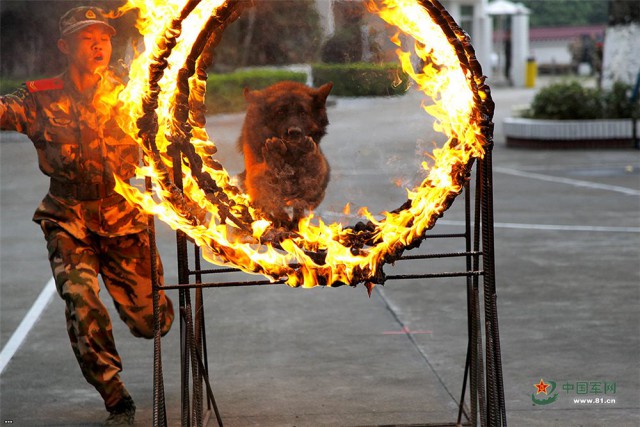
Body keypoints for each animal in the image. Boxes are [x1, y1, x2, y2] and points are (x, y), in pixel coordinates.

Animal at [238, 81, 332, 227]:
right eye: (280, 112)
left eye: (303, 113)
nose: (294, 132)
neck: (290, 155)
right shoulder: (253, 169)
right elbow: (263, 181)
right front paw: (274, 158)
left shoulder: (319, 182)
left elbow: (314, 179)